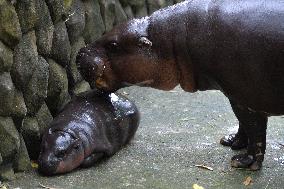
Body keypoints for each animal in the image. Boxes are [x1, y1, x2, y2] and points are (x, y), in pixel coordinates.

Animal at [75, 0, 284, 171]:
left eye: (113, 45)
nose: (79, 53)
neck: (169, 39)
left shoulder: (248, 98)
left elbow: (255, 130)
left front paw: (243, 163)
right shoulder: (235, 95)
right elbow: (242, 124)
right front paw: (232, 141)